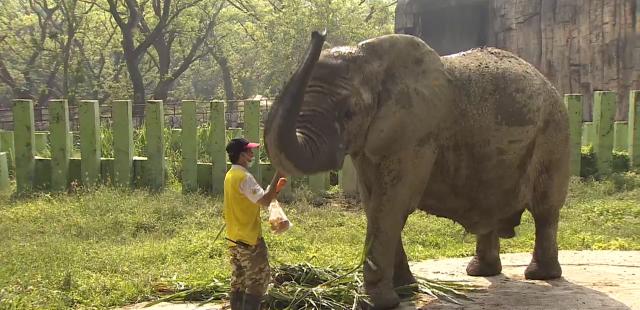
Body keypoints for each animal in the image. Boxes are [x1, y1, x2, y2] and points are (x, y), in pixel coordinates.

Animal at [262, 30, 568, 308]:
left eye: (348, 113)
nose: (319, 33)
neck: (371, 59)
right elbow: (374, 204)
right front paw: (406, 291)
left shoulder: (417, 133)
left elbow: (391, 205)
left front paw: (378, 302)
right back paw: (480, 272)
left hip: (552, 135)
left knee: (545, 210)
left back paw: (541, 276)